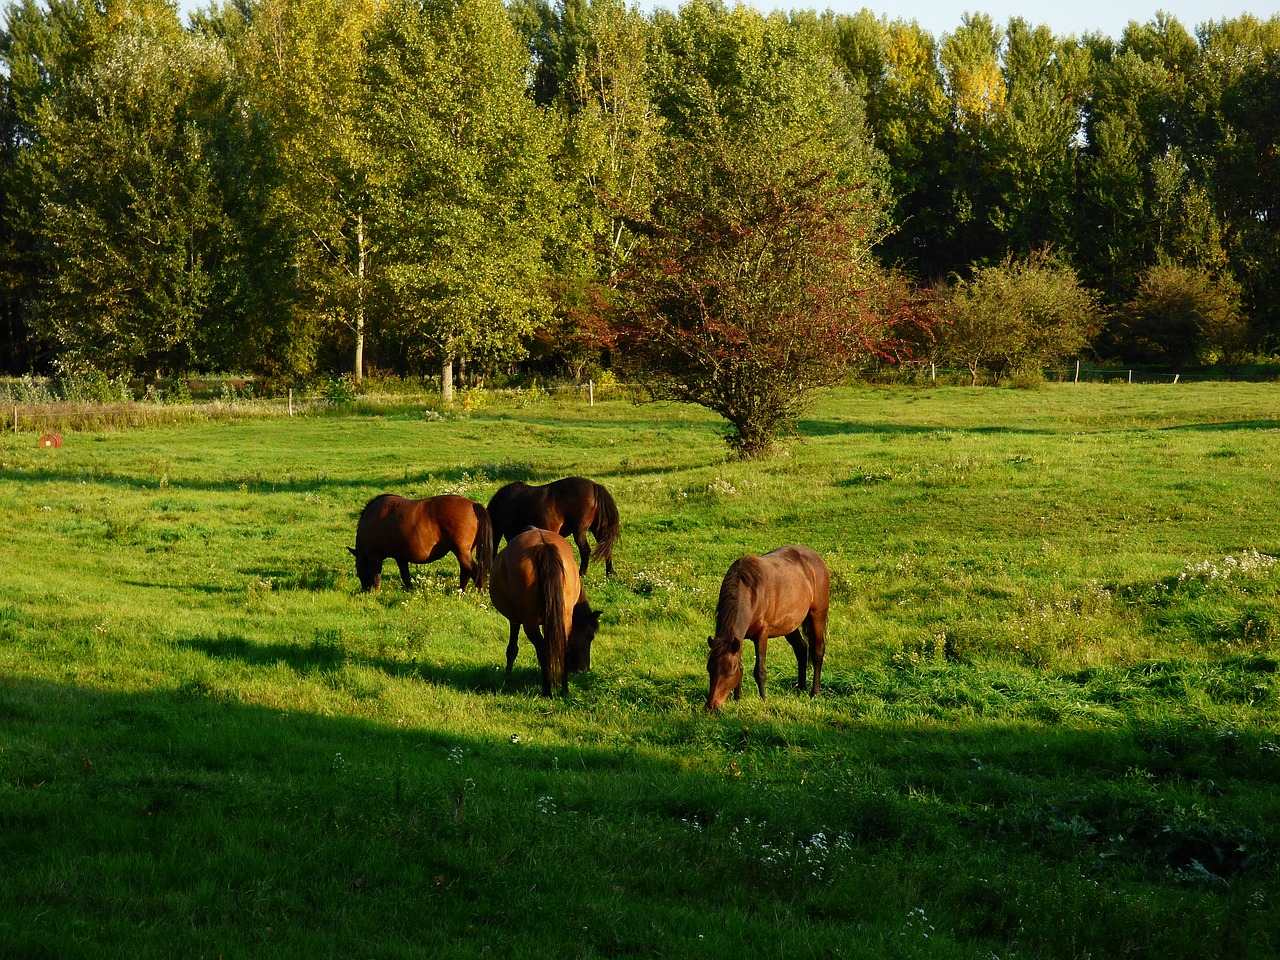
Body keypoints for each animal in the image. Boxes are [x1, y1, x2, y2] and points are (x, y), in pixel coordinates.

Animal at [350, 496, 494, 593]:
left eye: (358, 569)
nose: (364, 590)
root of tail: (473, 504)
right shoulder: (400, 557)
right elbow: (405, 575)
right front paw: (410, 590)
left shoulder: (375, 556)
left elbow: (376, 575)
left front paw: (376, 591)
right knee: (466, 571)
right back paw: (461, 591)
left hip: (461, 552)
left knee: (474, 570)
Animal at [483, 478, 619, 576]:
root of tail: (594, 486)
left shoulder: (510, 534)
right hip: (597, 529)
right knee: (606, 547)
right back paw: (610, 573)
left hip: (579, 531)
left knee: (585, 550)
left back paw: (582, 574)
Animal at [488, 527, 599, 701]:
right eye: (590, 636)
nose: (583, 669)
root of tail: (543, 546)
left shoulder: (515, 620)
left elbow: (512, 649)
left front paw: (507, 677)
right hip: (561, 619)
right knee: (560, 647)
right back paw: (563, 689)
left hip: (530, 623)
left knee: (542, 650)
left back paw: (547, 690)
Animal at [701, 545, 829, 711]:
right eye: (709, 668)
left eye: (729, 671)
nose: (711, 706)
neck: (750, 592)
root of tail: (816, 558)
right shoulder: (739, 639)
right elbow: (741, 667)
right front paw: (737, 699)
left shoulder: (761, 635)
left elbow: (760, 671)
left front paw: (763, 700)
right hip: (789, 625)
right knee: (801, 649)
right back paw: (801, 688)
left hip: (817, 615)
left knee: (817, 652)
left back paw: (814, 692)